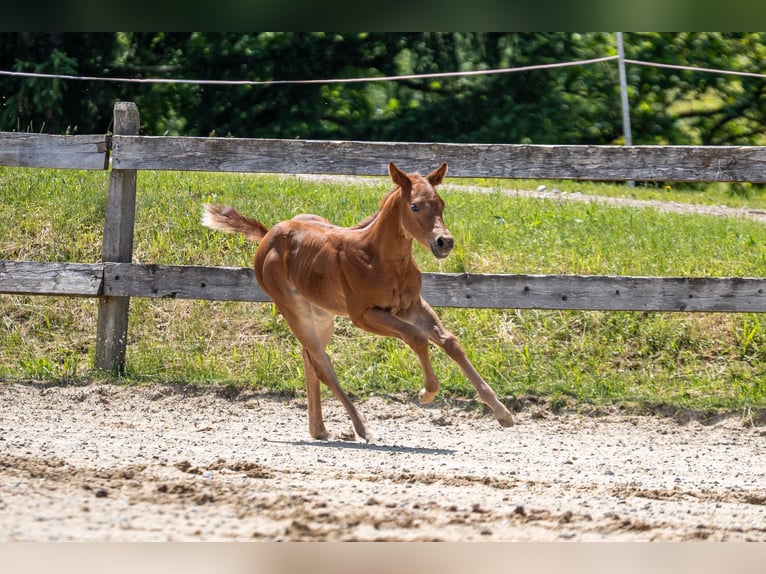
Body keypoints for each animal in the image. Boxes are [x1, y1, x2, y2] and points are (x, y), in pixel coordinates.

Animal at [202, 162, 514, 441]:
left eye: (441, 204)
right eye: (415, 206)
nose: (444, 242)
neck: (380, 259)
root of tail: (268, 235)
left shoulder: (412, 306)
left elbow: (450, 342)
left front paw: (502, 412)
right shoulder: (364, 315)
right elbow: (415, 338)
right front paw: (427, 392)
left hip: (322, 314)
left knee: (309, 357)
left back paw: (319, 429)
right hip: (293, 309)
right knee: (322, 364)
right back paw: (363, 428)